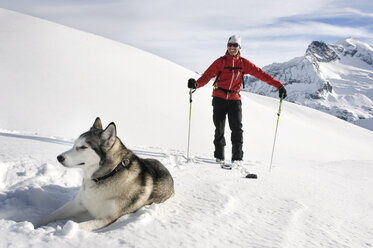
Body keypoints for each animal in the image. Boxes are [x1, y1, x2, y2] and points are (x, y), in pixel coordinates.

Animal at [35, 117, 174, 232]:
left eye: (83, 147)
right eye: (74, 145)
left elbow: (75, 225)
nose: (59, 157)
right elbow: (48, 216)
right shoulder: (77, 204)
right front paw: (33, 224)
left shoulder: (107, 218)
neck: (106, 176)